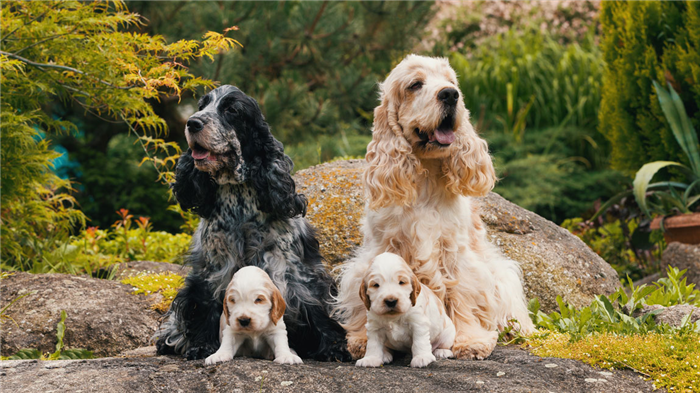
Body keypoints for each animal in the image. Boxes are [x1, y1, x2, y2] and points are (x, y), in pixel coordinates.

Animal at [154, 84, 350, 360]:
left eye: (232, 110)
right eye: (202, 105)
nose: (192, 122)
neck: (238, 198)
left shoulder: (293, 269)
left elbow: (315, 304)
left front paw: (334, 347)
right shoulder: (213, 267)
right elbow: (205, 305)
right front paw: (201, 346)